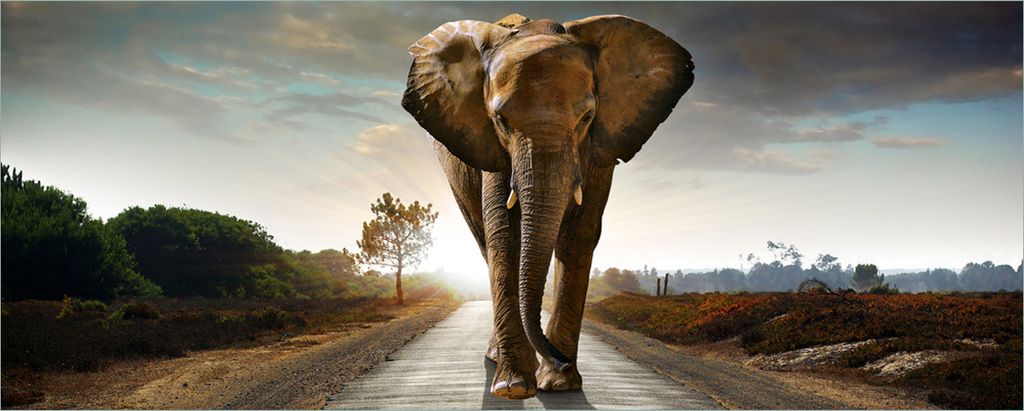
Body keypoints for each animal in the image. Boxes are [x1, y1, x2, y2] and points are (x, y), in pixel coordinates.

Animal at [401, 13, 694, 399]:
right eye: (501, 121)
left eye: (586, 118)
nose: (558, 358)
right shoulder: (492, 149)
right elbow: (505, 235)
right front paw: (513, 387)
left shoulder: (599, 148)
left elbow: (579, 235)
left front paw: (559, 384)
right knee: (484, 241)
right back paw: (498, 360)